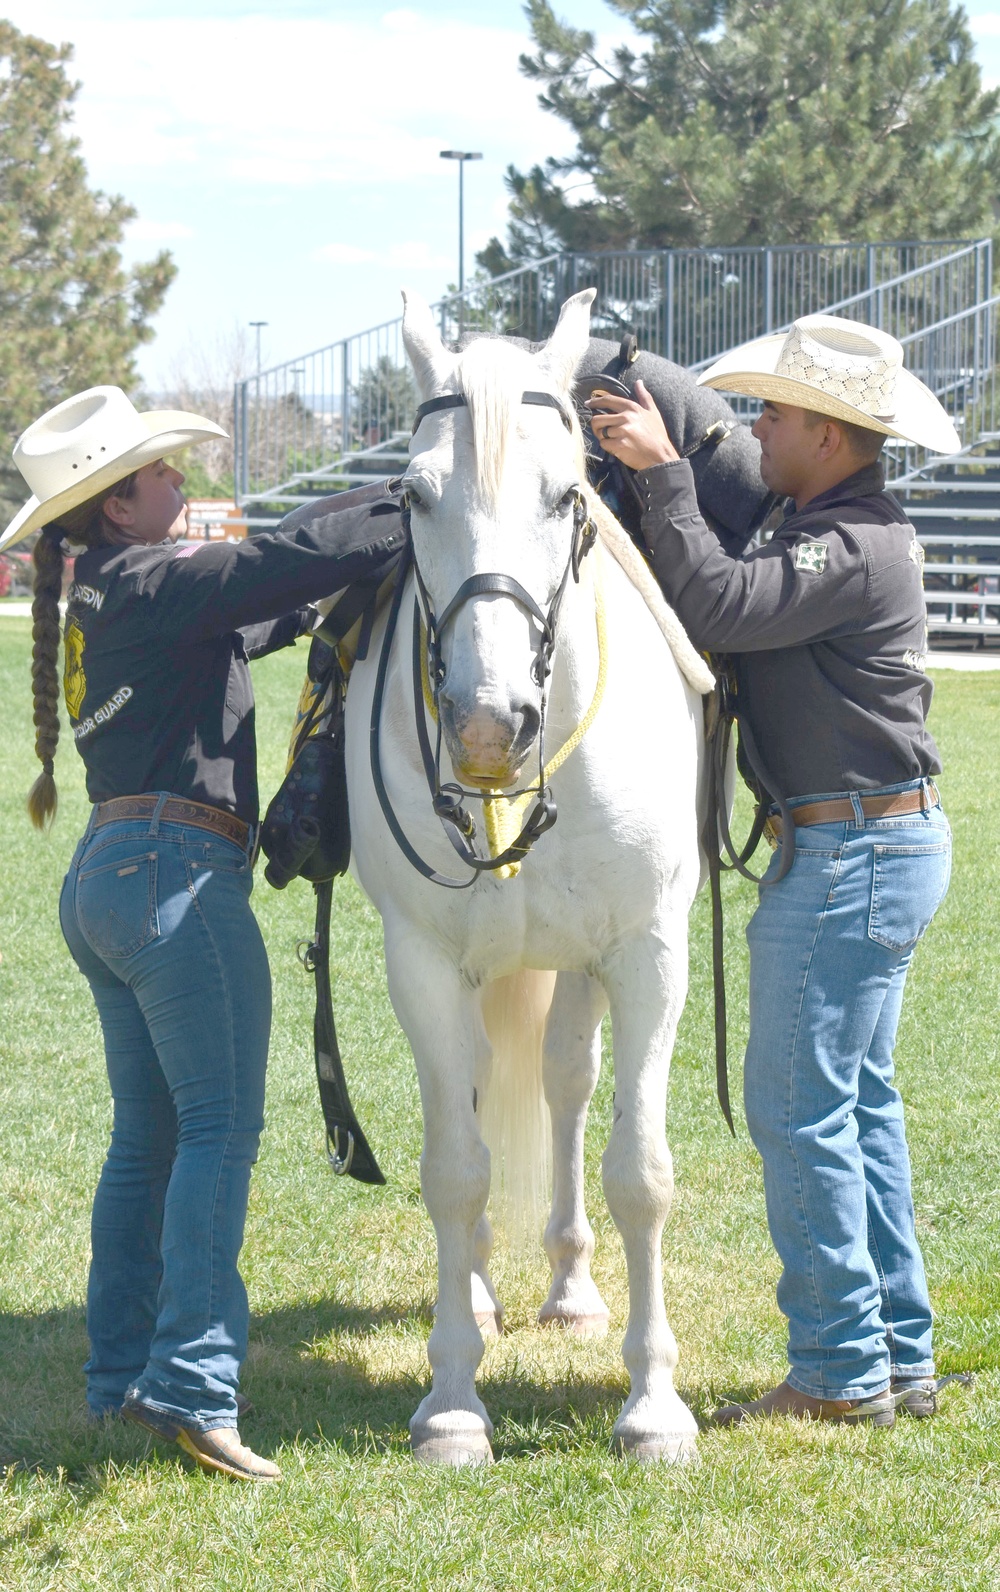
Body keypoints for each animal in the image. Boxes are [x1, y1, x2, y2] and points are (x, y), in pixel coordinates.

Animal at [347, 289, 713, 1464]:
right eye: (412, 494)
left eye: (567, 495)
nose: (483, 724)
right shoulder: (419, 962)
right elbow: (454, 1171)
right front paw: (454, 1400)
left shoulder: (646, 954)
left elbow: (641, 1172)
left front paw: (653, 1406)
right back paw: (480, 1296)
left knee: (566, 1088)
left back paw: (571, 1288)